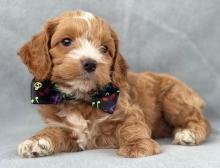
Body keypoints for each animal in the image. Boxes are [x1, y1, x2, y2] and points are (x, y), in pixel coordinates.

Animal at [16, 10, 210, 158]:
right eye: (66, 41)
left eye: (104, 48)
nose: (90, 63)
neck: (81, 99)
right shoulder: (64, 128)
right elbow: (54, 132)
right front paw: (36, 141)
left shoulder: (128, 110)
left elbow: (131, 127)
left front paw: (137, 145)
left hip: (174, 99)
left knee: (201, 120)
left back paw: (188, 133)